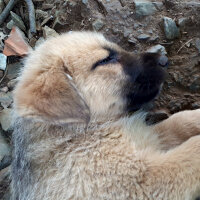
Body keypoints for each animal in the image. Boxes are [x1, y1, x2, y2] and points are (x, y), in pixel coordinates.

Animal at [11, 31, 200, 200]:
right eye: (105, 60)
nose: (164, 60)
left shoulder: (145, 137)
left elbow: (178, 122)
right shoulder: (140, 181)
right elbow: (189, 153)